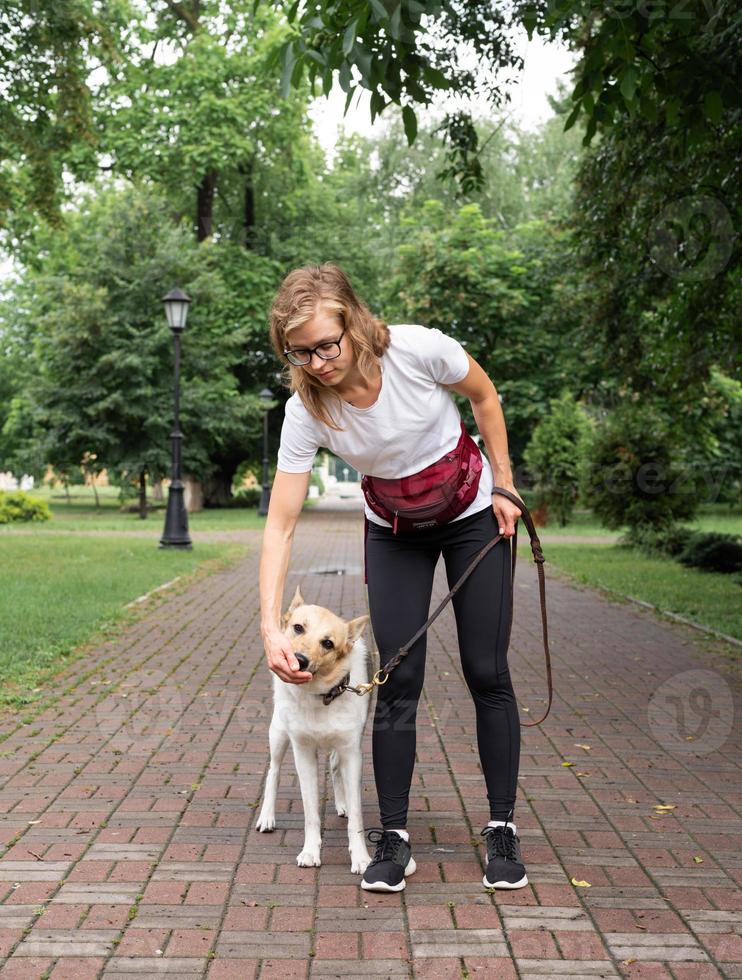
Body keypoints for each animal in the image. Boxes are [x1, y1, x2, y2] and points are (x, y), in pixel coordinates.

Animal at [258, 584, 374, 876]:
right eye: (298, 627)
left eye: (328, 643)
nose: (299, 660)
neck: (321, 695)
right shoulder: (303, 753)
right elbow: (310, 813)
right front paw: (310, 852)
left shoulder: (352, 752)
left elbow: (356, 816)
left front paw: (361, 857)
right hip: (278, 732)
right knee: (273, 771)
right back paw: (266, 817)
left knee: (334, 765)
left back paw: (342, 803)